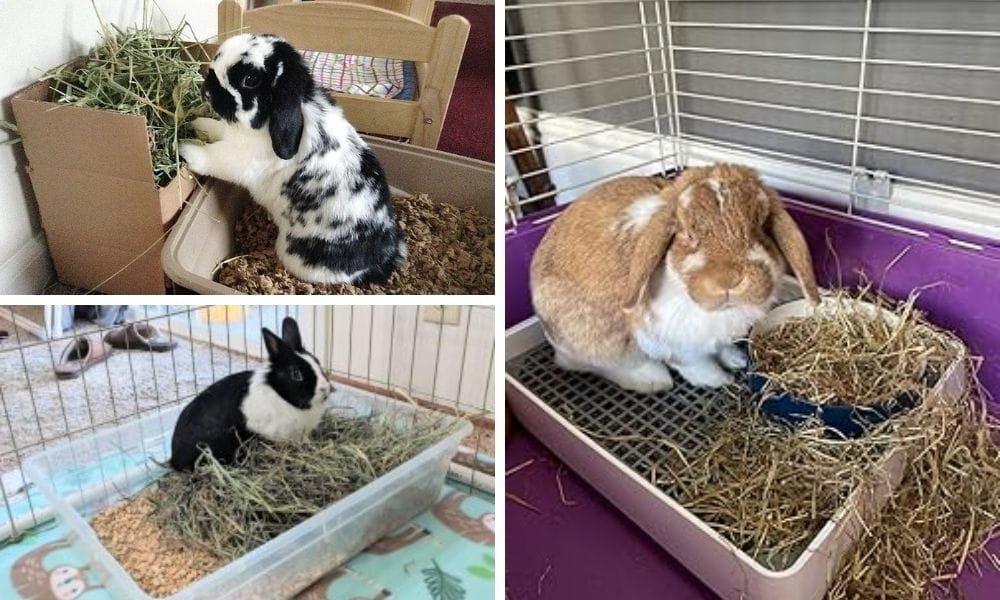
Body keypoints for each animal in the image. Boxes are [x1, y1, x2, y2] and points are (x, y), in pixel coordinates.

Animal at [179, 34, 406, 286]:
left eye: (250, 80)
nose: (206, 90)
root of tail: (380, 260)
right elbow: (216, 128)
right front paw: (196, 125)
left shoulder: (239, 159)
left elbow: (213, 157)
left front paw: (185, 148)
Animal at [530, 164, 819, 393]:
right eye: (687, 233)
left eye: (760, 226)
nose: (728, 280)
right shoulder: (674, 343)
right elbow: (694, 364)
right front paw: (719, 380)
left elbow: (721, 348)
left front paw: (736, 359)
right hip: (599, 343)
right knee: (599, 364)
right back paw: (653, 380)